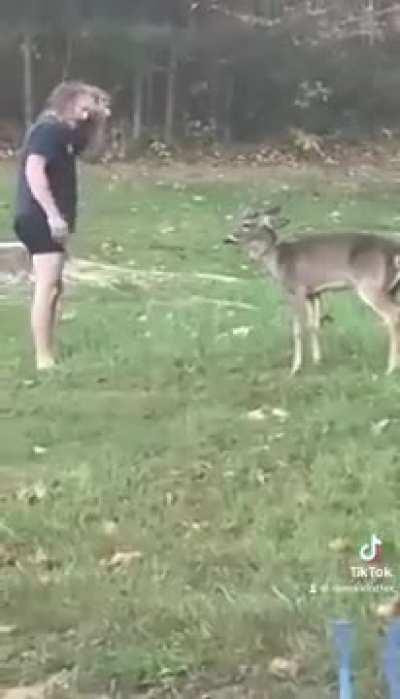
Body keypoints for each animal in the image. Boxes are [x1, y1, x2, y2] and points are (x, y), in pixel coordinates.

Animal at [225, 208, 400, 378]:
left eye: (247, 224)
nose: (228, 238)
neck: (278, 261)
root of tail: (394, 251)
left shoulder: (297, 289)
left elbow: (297, 330)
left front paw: (295, 368)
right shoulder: (314, 293)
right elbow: (314, 325)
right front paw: (317, 361)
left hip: (370, 286)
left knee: (393, 315)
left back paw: (390, 368)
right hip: (391, 289)